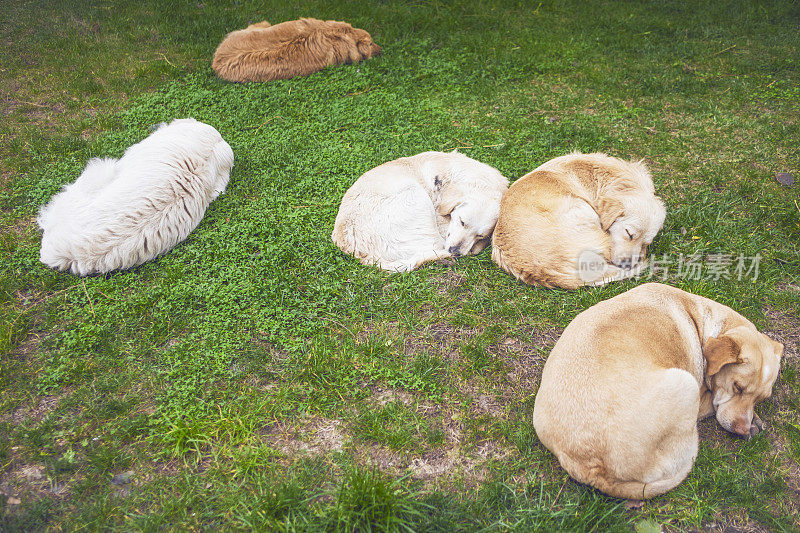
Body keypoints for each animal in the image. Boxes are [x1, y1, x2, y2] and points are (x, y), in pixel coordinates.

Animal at [536, 282, 784, 498]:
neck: (704, 320)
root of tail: (594, 469)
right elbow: (712, 403)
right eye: (737, 387)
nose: (742, 429)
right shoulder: (702, 389)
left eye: (761, 399)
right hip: (685, 382)